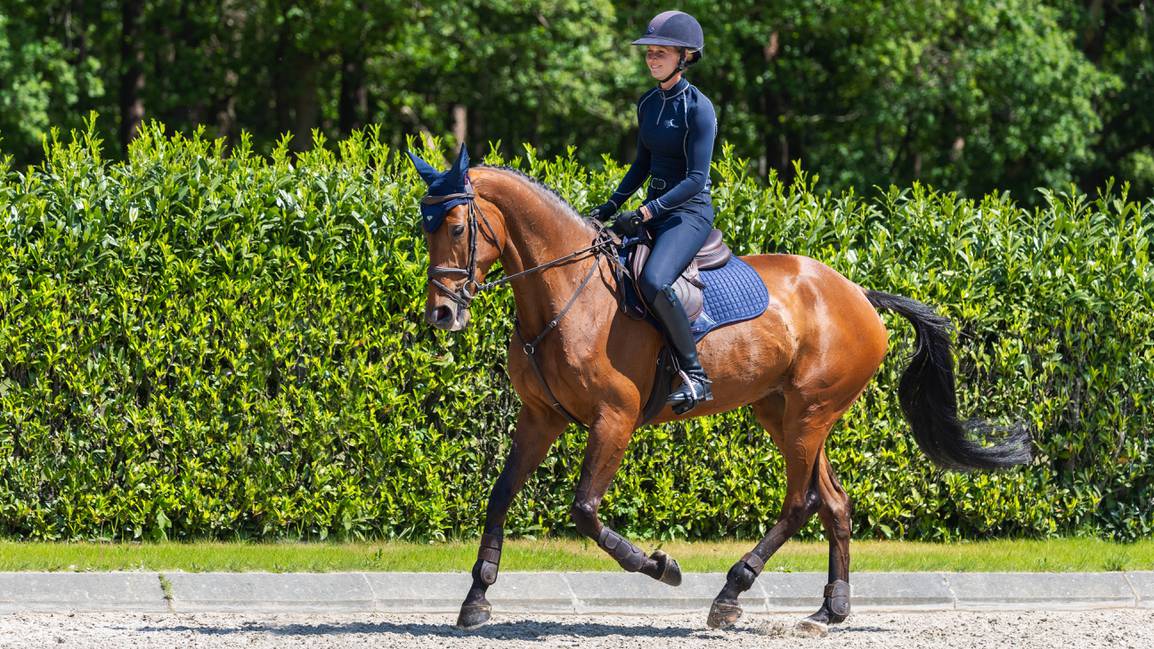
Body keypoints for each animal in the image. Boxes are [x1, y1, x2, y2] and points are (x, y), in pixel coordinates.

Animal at [410, 146, 1033, 628]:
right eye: (425, 229)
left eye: (459, 228)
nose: (441, 314)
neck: (565, 293)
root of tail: (859, 294)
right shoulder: (542, 416)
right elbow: (500, 495)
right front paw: (475, 600)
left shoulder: (614, 419)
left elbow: (585, 510)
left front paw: (661, 567)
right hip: (784, 413)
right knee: (834, 501)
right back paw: (829, 610)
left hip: (809, 413)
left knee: (801, 502)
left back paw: (731, 593)